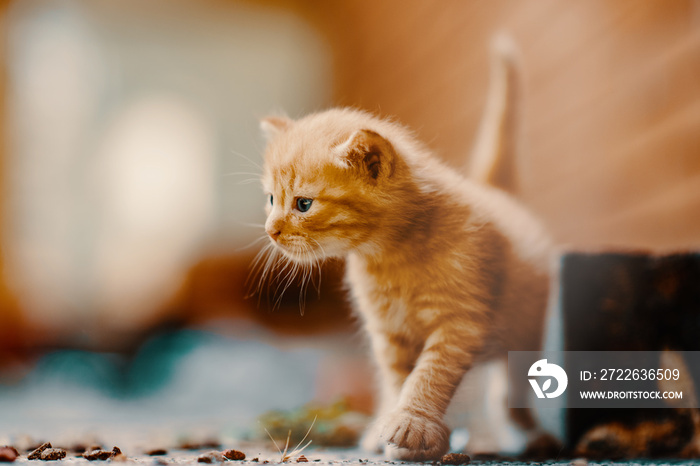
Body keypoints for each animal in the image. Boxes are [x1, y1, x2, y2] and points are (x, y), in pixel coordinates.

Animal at [258, 45, 552, 460]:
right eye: (271, 199)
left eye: (303, 204)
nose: (271, 231)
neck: (390, 258)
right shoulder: (389, 333)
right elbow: (398, 380)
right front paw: (398, 431)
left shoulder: (460, 322)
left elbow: (429, 374)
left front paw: (412, 423)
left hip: (526, 329)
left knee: (513, 388)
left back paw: (529, 434)